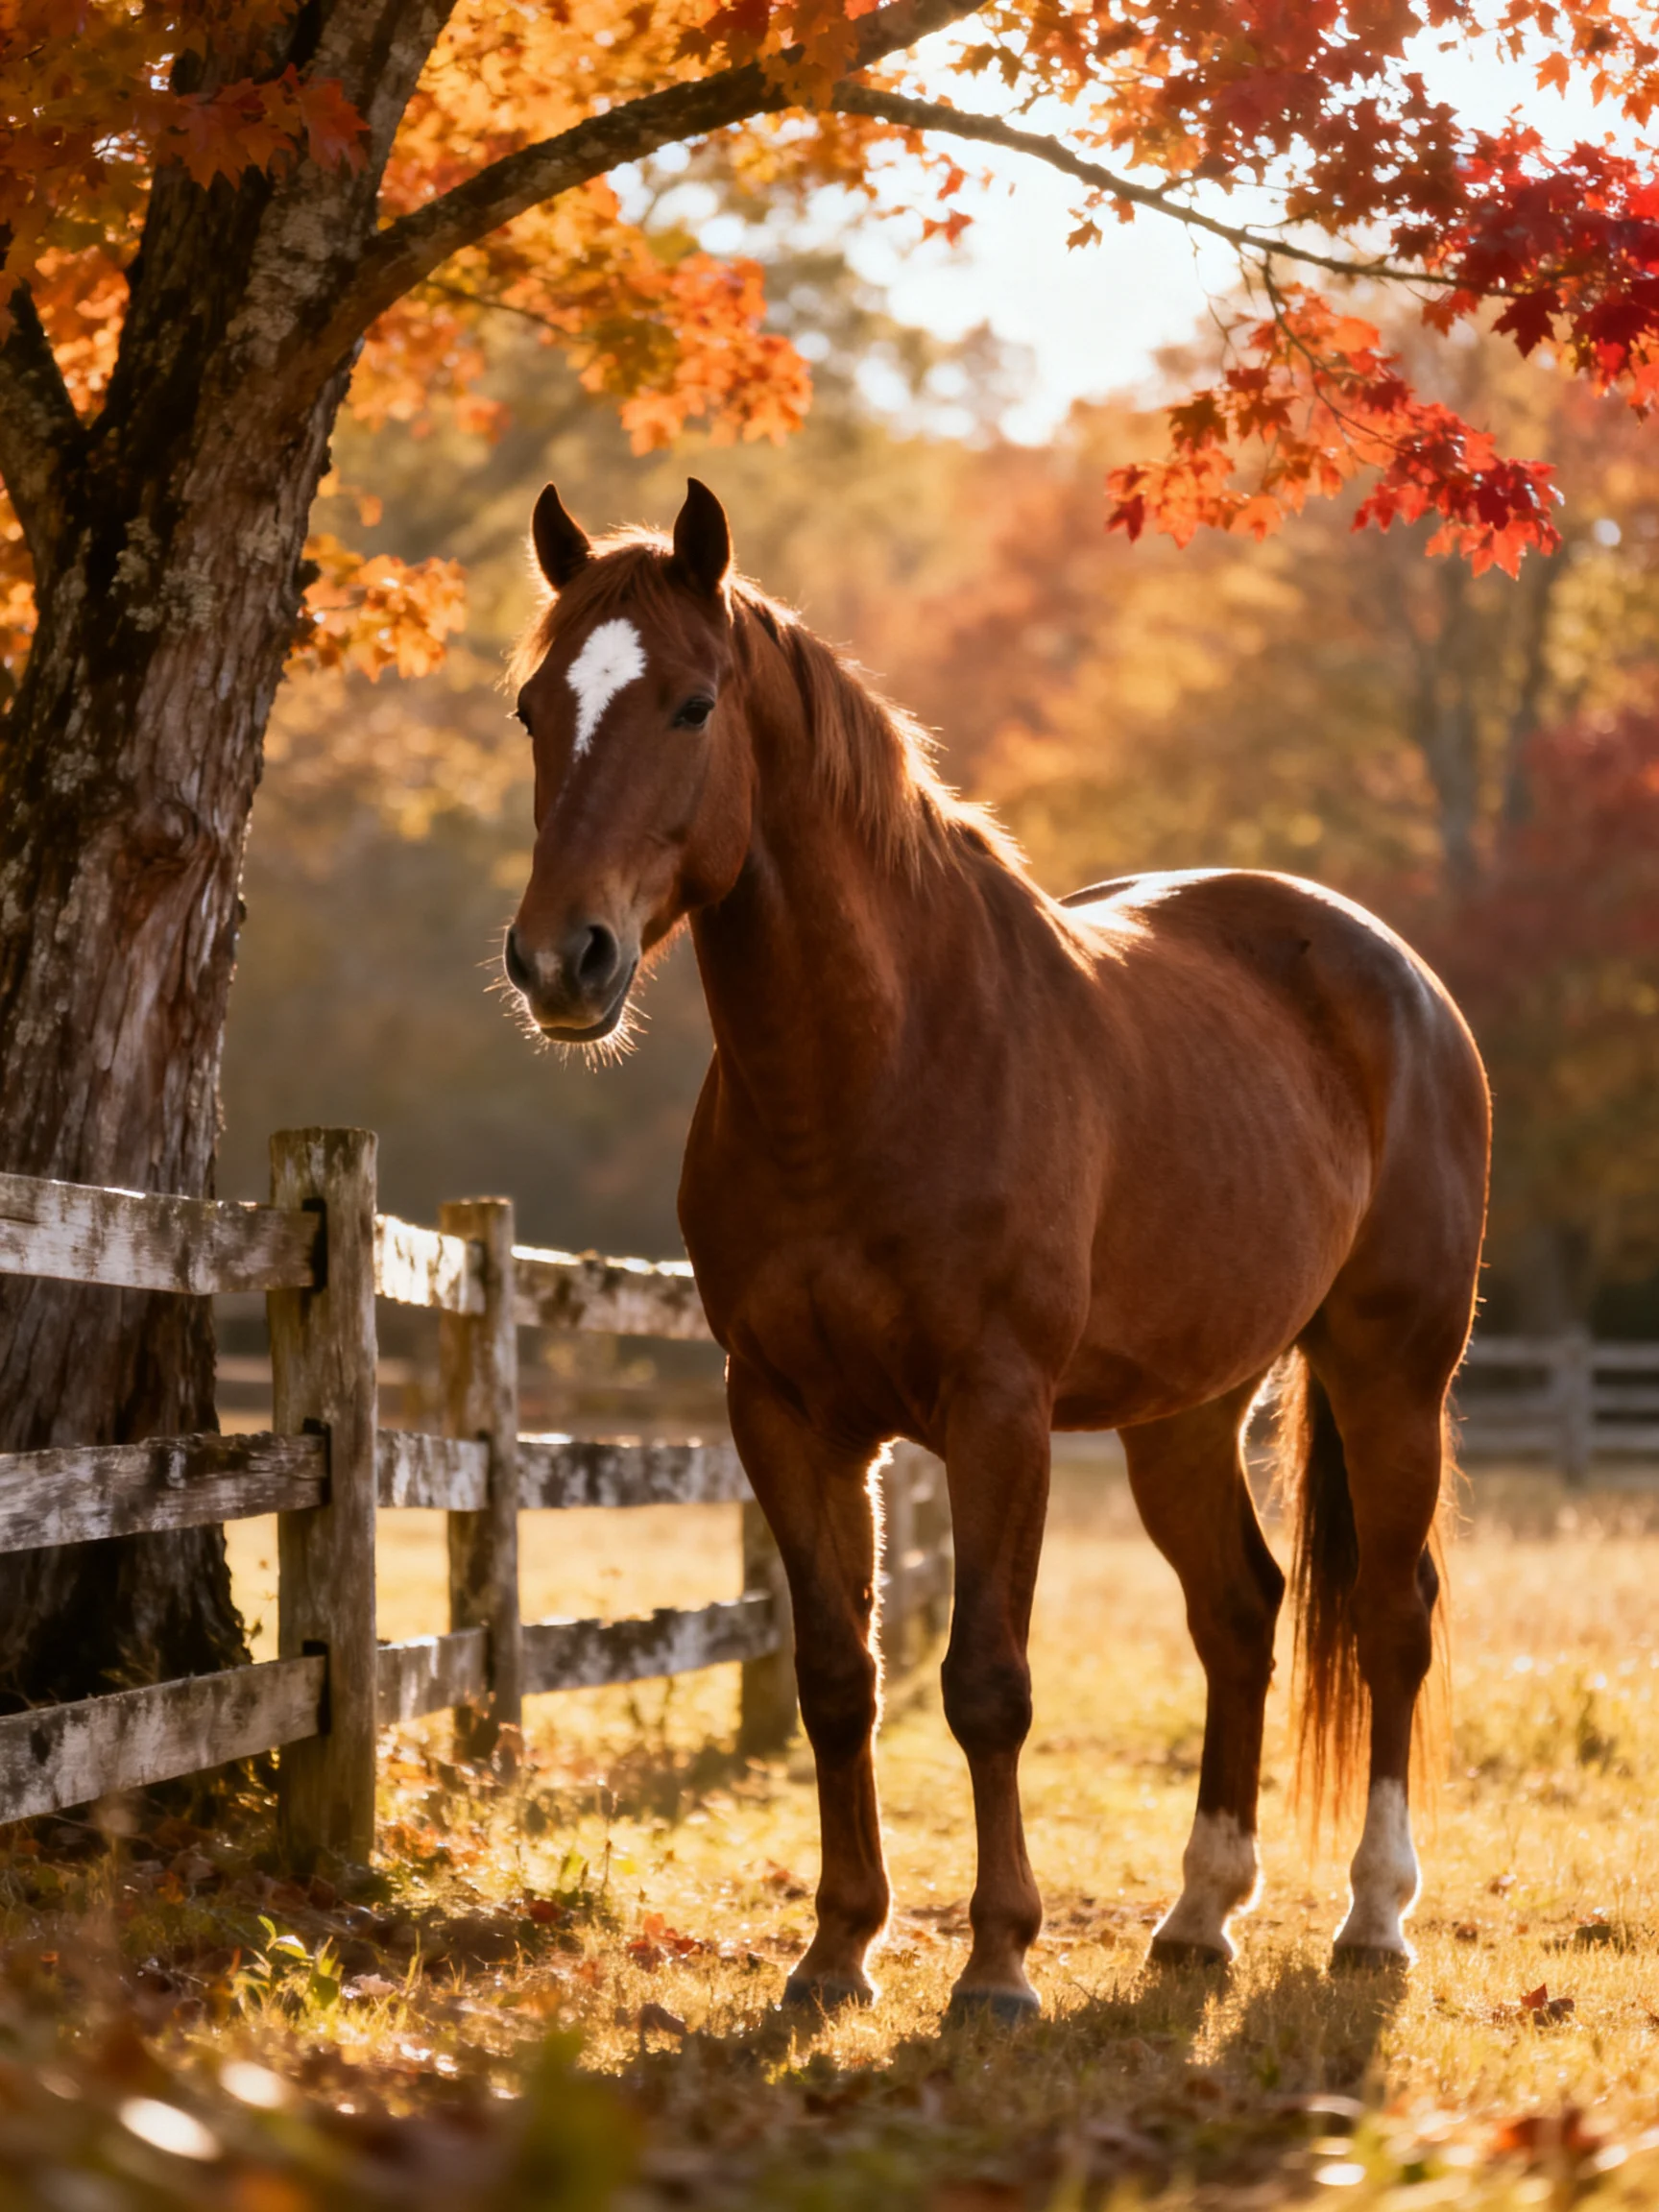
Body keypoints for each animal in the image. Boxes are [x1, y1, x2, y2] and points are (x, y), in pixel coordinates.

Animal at [502, 477, 1490, 2021]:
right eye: (535, 706)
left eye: (691, 705)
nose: (563, 961)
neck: (879, 1065)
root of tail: (1399, 976)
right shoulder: (783, 1412)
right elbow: (836, 1676)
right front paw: (837, 1951)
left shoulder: (996, 1409)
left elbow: (987, 1683)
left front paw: (998, 1966)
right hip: (1186, 1412)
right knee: (1241, 1613)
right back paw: (1199, 1915)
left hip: (1393, 1373)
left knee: (1392, 1616)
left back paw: (1374, 1917)